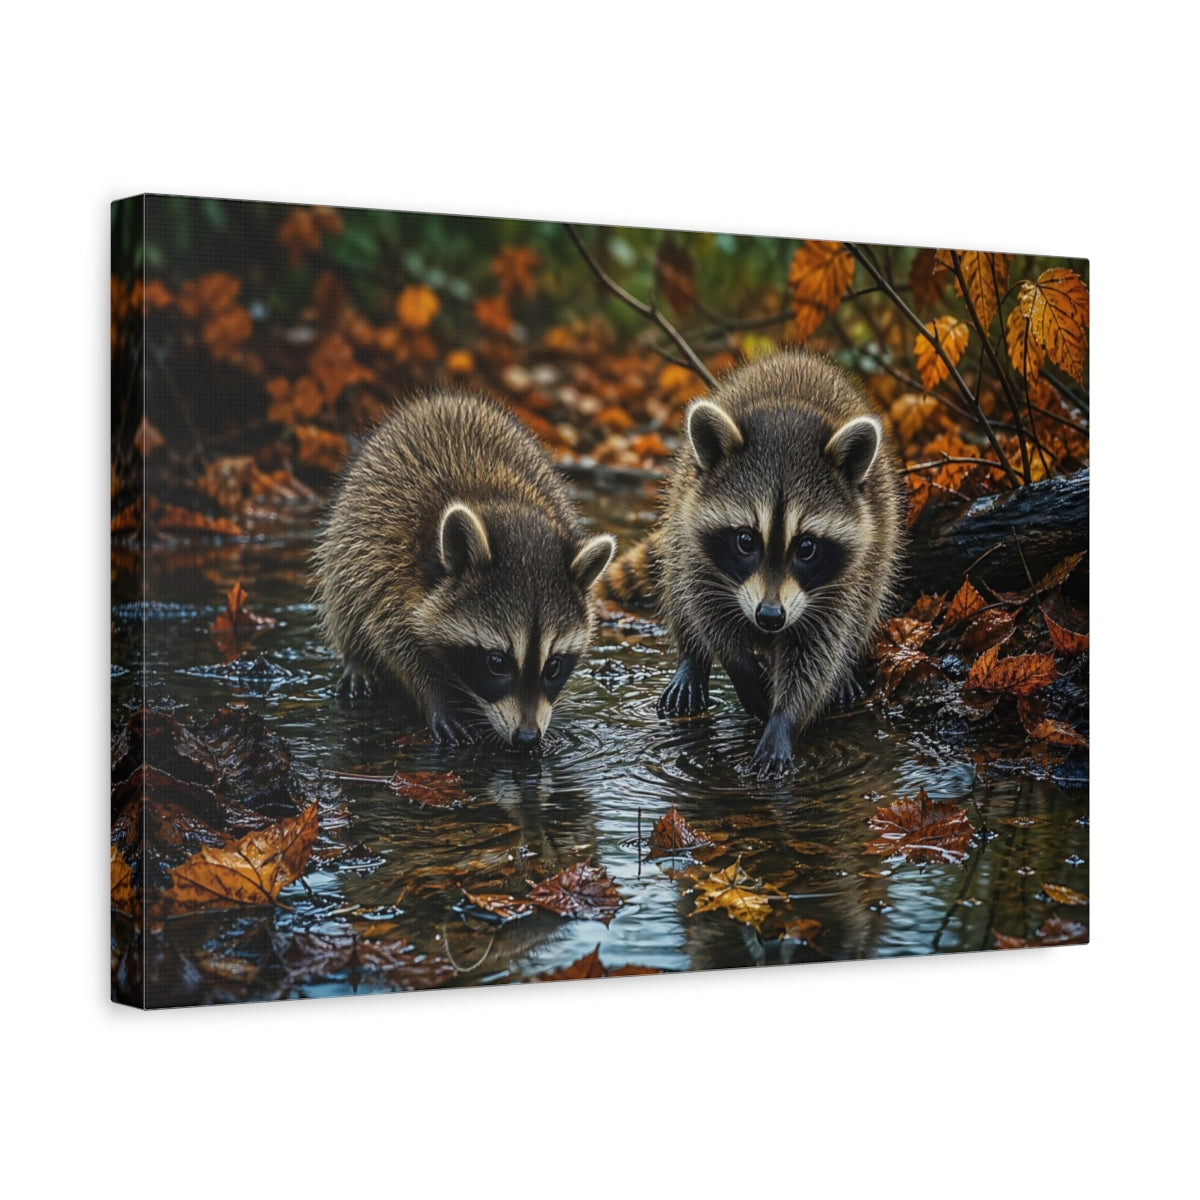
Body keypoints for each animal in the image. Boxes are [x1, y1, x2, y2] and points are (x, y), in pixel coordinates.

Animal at [313, 392, 616, 751]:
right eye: (496, 662)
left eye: (553, 666)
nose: (527, 738)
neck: (500, 503)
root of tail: (444, 399)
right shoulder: (388, 571)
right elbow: (394, 643)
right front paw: (437, 696)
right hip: (348, 533)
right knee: (344, 594)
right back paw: (356, 657)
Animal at [632, 352, 905, 778]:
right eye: (746, 540)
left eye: (806, 547)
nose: (771, 617)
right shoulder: (701, 557)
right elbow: (708, 612)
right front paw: (742, 671)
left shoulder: (840, 584)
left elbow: (818, 650)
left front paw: (784, 720)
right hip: (680, 506)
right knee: (676, 581)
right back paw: (691, 659)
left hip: (882, 537)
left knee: (868, 602)